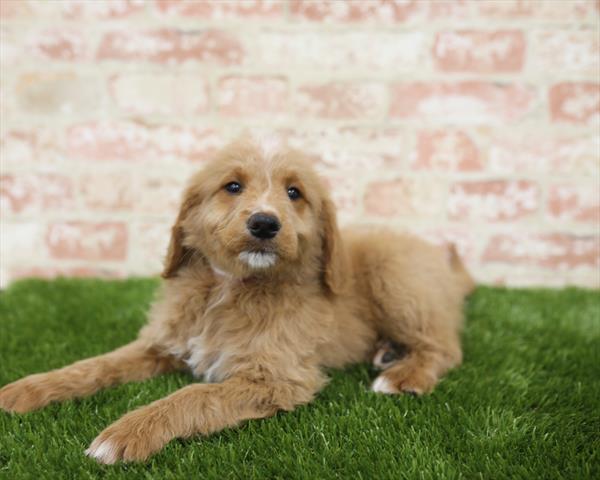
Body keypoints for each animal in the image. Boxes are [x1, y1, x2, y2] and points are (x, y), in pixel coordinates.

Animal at [0, 133, 474, 464]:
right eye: (232, 186)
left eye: (294, 193)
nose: (264, 223)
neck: (231, 286)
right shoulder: (161, 343)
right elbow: (95, 365)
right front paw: (27, 389)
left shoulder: (276, 377)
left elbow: (193, 395)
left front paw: (127, 433)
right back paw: (388, 353)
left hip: (397, 278)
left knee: (446, 347)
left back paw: (403, 375)